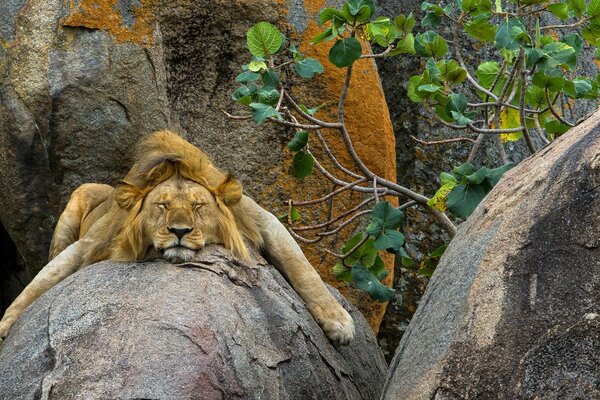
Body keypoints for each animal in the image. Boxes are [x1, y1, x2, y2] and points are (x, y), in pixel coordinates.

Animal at [0, 130, 356, 346]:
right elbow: (42, 281)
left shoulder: (260, 220)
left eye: (198, 207)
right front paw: (6, 324)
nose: (180, 232)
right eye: (162, 206)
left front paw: (338, 321)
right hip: (78, 198)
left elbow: (303, 268)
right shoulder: (91, 244)